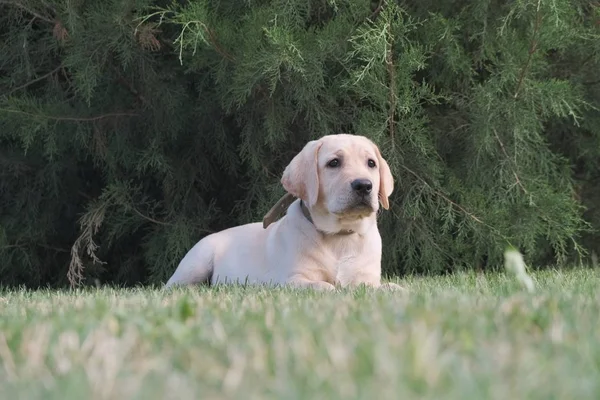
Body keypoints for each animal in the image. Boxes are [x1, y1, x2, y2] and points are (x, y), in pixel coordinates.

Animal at [166, 134, 406, 290]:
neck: (340, 235)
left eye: (371, 163)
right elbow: (325, 287)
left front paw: (394, 289)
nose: (364, 186)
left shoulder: (366, 278)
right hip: (196, 262)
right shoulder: (291, 280)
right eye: (334, 163)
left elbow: (384, 287)